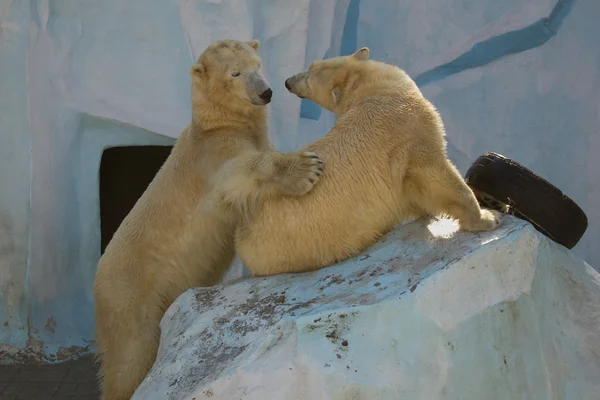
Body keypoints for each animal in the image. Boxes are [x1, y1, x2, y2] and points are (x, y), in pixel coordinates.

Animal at [92, 38, 324, 400]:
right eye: (235, 73)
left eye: (258, 64)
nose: (266, 92)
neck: (216, 124)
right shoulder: (213, 156)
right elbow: (239, 172)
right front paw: (304, 168)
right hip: (129, 298)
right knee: (130, 357)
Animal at [234, 48, 502, 276]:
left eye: (309, 72)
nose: (288, 81)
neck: (371, 90)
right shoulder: (411, 134)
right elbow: (436, 175)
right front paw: (487, 217)